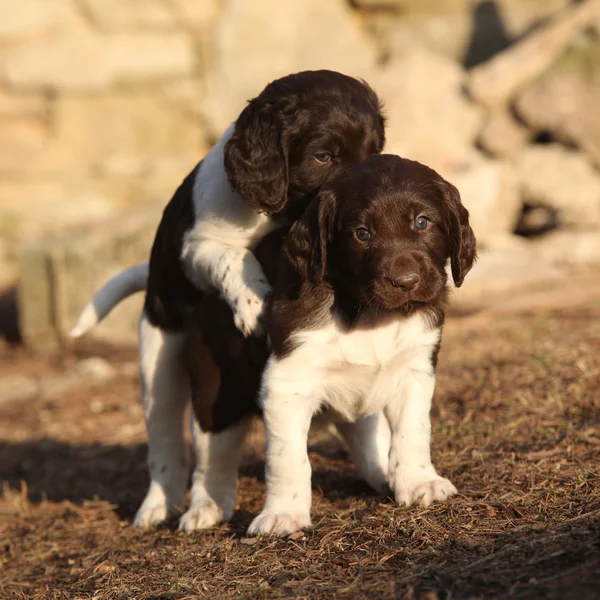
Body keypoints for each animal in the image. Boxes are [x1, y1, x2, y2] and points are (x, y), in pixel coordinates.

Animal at [69, 70, 384, 528]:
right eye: (324, 156)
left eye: (375, 152)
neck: (277, 213)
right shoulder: (197, 246)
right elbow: (233, 256)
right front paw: (253, 306)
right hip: (160, 363)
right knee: (167, 444)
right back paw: (160, 507)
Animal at [188, 154, 478, 536]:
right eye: (362, 233)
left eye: (422, 222)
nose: (406, 282)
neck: (367, 312)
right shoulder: (286, 381)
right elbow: (288, 457)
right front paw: (283, 515)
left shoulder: (415, 368)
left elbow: (413, 430)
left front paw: (419, 483)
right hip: (216, 390)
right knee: (213, 454)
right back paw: (205, 508)